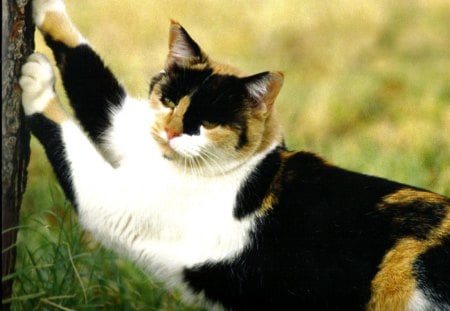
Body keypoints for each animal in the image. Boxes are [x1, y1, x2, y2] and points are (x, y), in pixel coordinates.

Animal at [19, 0, 448, 311]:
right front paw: (47, 9)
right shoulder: (126, 131)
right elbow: (94, 83)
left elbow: (67, 139)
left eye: (208, 121)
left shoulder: (117, 205)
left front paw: (35, 85)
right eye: (169, 100)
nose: (171, 131)